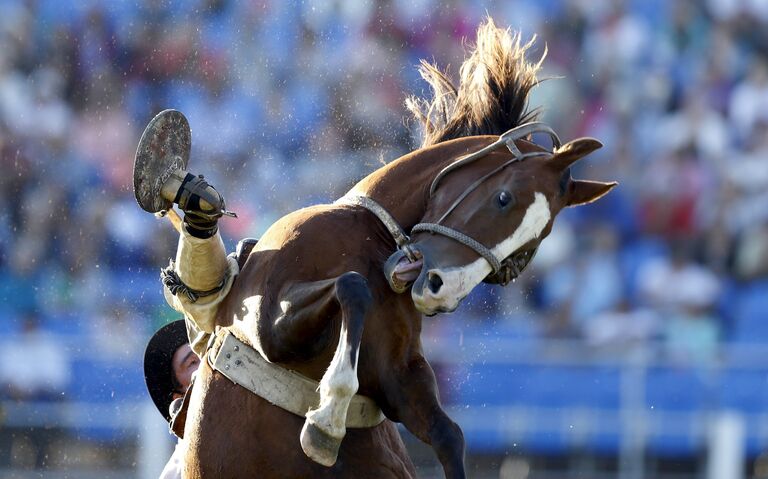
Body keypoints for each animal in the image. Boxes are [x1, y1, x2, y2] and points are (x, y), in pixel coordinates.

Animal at [180, 18, 616, 479]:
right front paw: (327, 419)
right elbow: (353, 287)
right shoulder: (270, 326)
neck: (367, 234)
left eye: (530, 247)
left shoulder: (401, 376)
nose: (443, 289)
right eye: (503, 198)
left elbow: (447, 434)